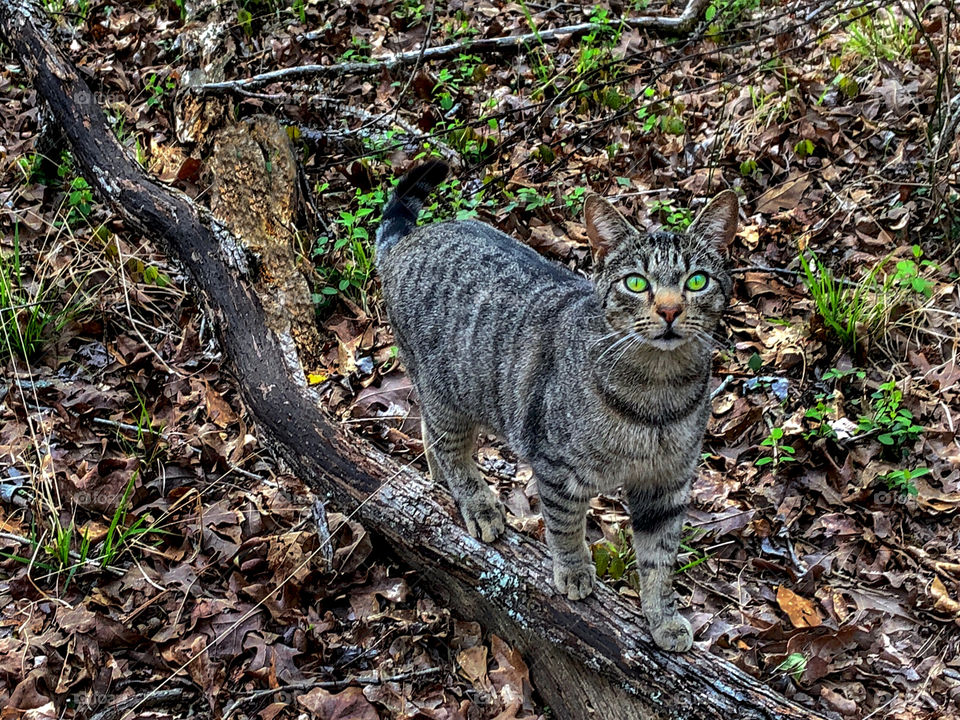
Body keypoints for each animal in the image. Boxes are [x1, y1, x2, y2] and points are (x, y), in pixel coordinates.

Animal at [374, 163, 736, 652]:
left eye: (696, 281)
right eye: (636, 282)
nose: (669, 310)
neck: (656, 397)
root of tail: (411, 239)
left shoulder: (666, 486)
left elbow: (660, 561)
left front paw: (663, 617)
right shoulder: (557, 469)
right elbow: (565, 528)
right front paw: (574, 571)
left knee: (430, 434)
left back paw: (438, 477)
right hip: (447, 395)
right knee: (450, 447)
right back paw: (478, 503)